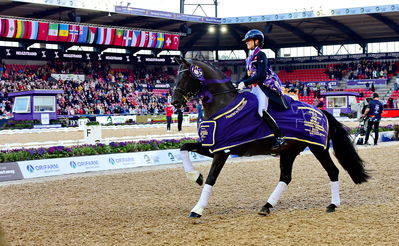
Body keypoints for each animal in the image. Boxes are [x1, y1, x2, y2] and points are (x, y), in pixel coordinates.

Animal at [173, 57, 370, 217]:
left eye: (186, 76)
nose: (174, 101)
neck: (223, 105)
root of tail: (321, 112)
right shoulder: (214, 147)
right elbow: (184, 147)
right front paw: (195, 176)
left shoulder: (223, 151)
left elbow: (211, 178)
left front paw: (197, 209)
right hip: (289, 151)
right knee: (285, 177)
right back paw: (266, 206)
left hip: (318, 148)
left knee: (333, 171)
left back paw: (333, 205)